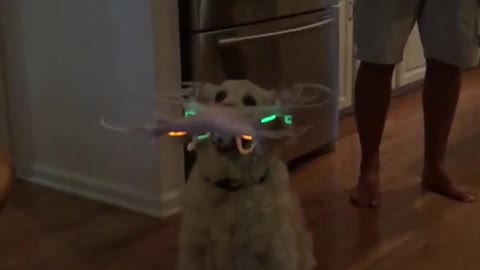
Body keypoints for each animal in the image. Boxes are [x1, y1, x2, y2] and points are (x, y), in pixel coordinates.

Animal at [177, 80, 316, 270]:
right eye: (219, 96)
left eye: (250, 101)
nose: (223, 110)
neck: (230, 188)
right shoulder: (193, 249)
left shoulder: (276, 254)